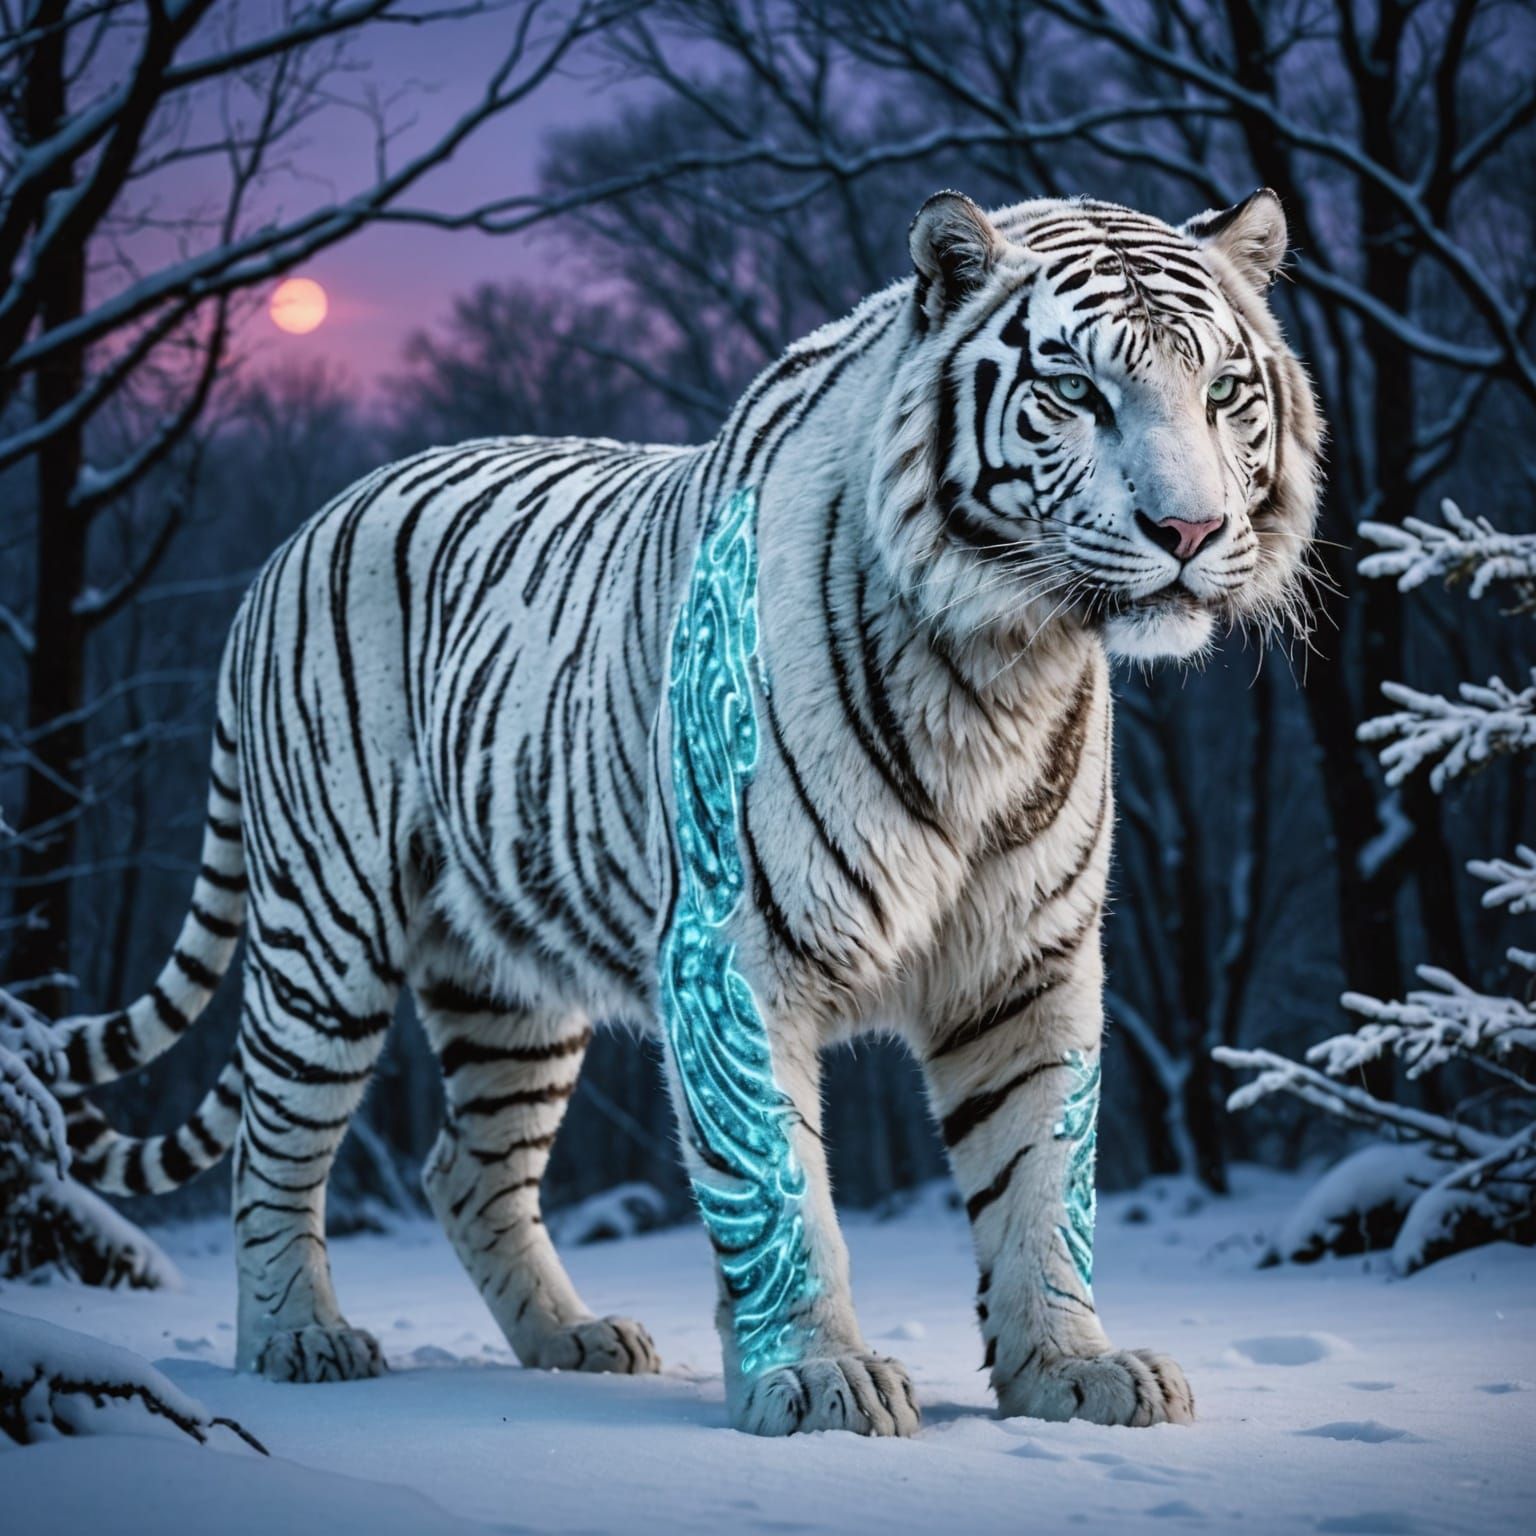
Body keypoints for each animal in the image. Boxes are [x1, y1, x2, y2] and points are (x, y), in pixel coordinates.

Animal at [47, 188, 1320, 1437]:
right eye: (1076, 393)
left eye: (1223, 392)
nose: (1191, 533)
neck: (1005, 667)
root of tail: (293, 539)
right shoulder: (738, 948)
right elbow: (777, 1179)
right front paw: (820, 1380)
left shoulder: (1027, 960)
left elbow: (1039, 1179)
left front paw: (1072, 1372)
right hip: (327, 933)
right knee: (272, 1150)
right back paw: (297, 1341)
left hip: (506, 986)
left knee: (467, 1169)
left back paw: (573, 1341)